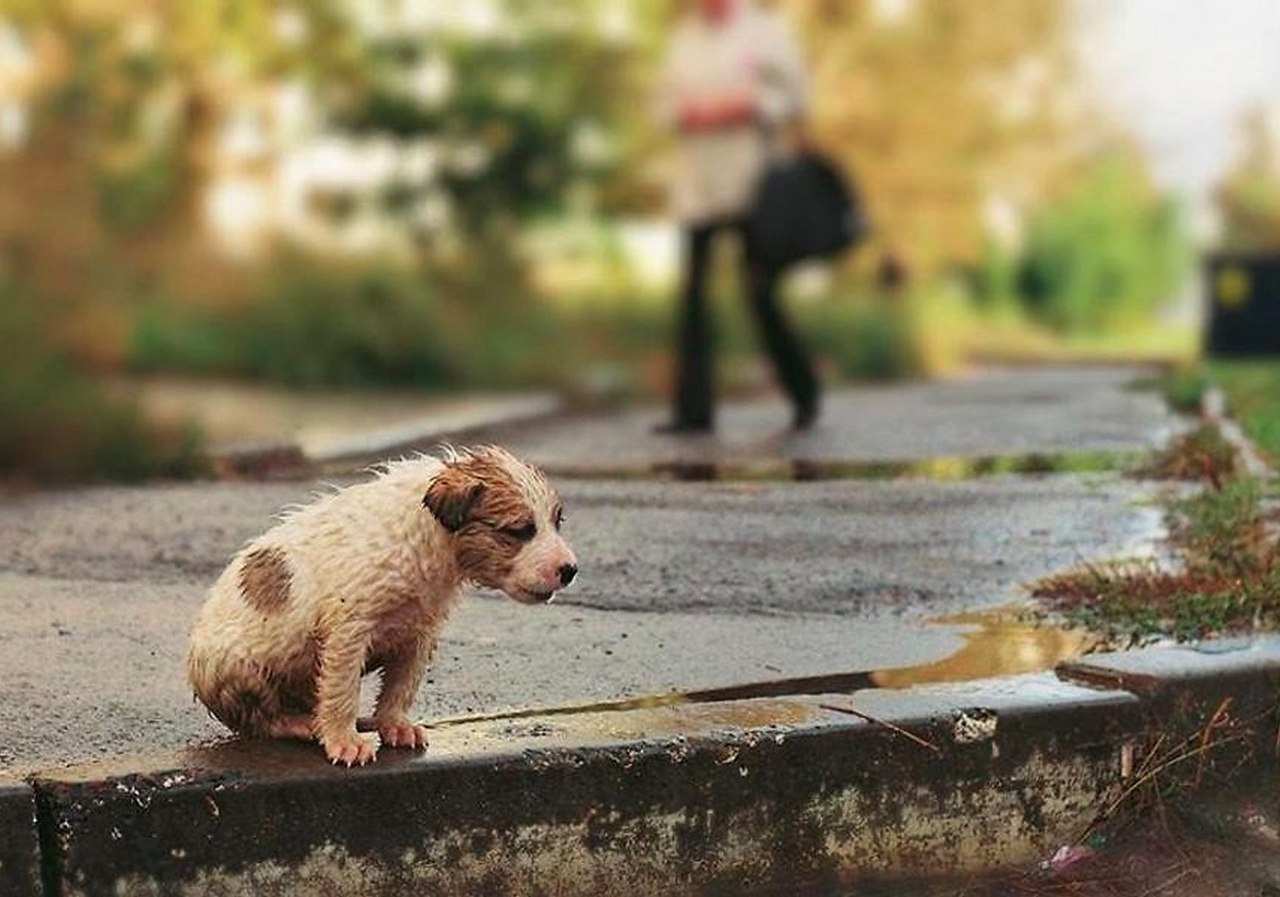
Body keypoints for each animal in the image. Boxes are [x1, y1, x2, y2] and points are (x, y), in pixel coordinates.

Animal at [185, 445, 576, 762]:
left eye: (557, 522)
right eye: (519, 531)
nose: (570, 570)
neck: (427, 537)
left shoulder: (419, 632)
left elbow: (401, 686)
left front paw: (394, 724)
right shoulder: (348, 630)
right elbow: (342, 691)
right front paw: (343, 740)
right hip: (238, 666)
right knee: (259, 718)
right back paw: (301, 723)